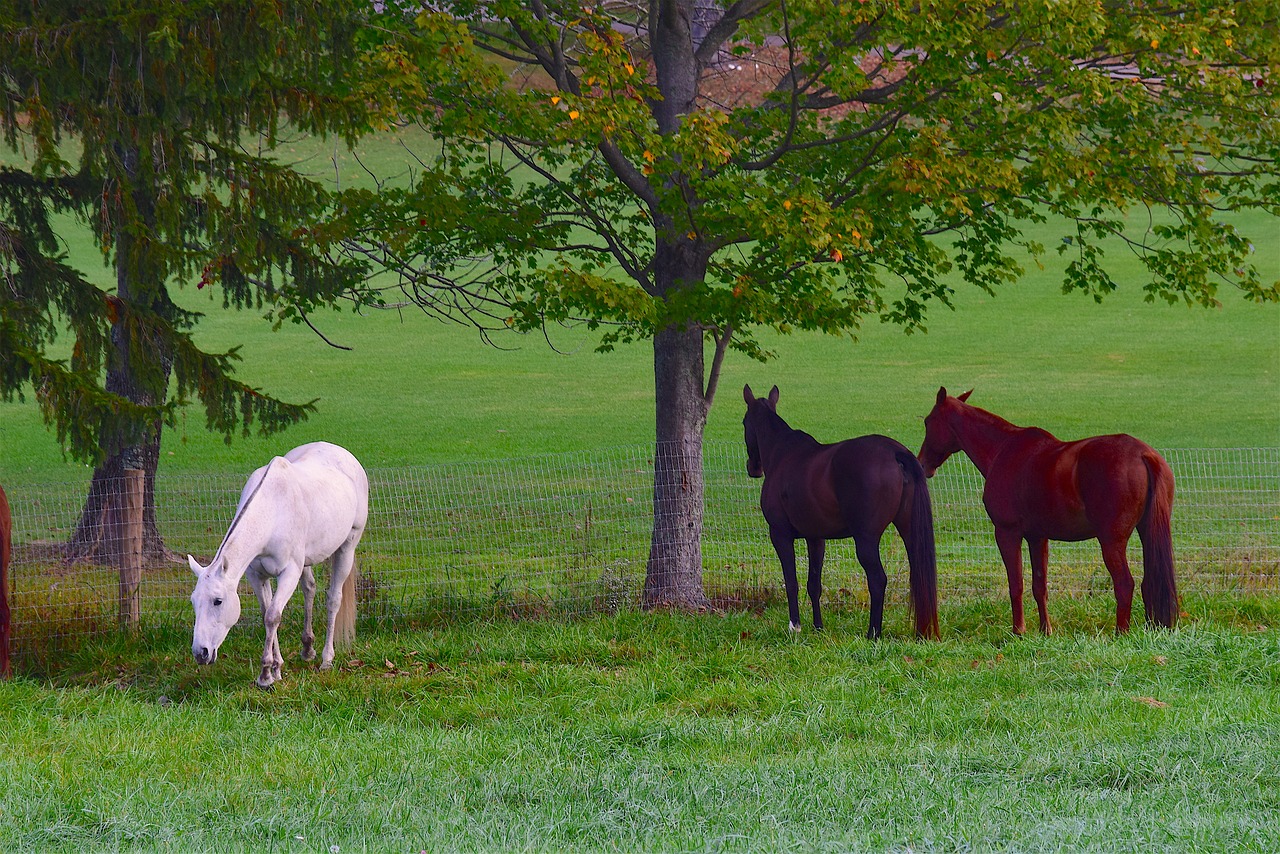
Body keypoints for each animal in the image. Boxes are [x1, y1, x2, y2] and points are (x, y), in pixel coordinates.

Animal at [189, 440, 371, 686]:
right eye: (193, 601)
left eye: (218, 601)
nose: (201, 653)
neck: (272, 512)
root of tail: (343, 454)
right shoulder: (256, 575)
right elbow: (267, 613)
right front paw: (276, 668)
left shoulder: (289, 572)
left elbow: (273, 616)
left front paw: (266, 674)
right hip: (308, 561)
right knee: (309, 589)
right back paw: (307, 649)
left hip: (347, 547)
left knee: (333, 599)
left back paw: (326, 659)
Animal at [742, 386, 942, 640]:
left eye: (744, 422)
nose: (753, 468)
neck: (783, 454)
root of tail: (895, 452)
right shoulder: (816, 538)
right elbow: (813, 584)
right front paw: (818, 627)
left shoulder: (780, 534)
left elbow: (791, 581)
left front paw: (795, 626)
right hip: (909, 529)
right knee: (918, 576)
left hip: (866, 539)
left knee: (878, 579)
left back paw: (873, 633)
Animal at [921, 389, 1177, 635]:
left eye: (927, 421)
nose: (922, 464)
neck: (1003, 449)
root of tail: (1143, 455)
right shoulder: (1038, 537)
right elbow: (1039, 586)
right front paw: (1046, 630)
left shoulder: (1007, 533)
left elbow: (1016, 584)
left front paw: (1018, 631)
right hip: (1146, 532)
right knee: (1148, 582)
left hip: (1111, 542)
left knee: (1125, 584)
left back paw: (1120, 633)